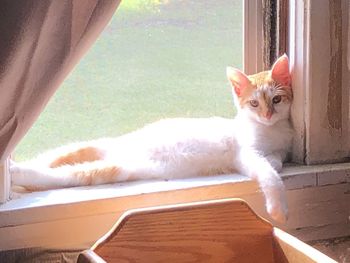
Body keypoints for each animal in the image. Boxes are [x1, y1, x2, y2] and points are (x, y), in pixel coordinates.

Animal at [10, 54, 292, 224]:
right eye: (254, 104)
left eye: (277, 100)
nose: (267, 114)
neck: (270, 130)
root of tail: (119, 149)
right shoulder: (246, 152)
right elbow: (269, 174)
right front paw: (278, 209)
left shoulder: (271, 150)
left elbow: (276, 159)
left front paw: (275, 162)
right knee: (49, 171)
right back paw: (14, 171)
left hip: (112, 162)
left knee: (56, 169)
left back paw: (18, 172)